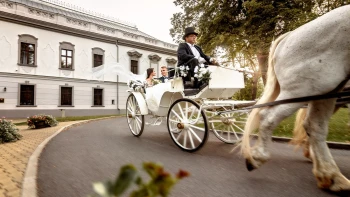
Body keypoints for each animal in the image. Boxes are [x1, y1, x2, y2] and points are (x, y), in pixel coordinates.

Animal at [242, 4, 348, 192]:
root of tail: (289, 35)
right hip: (307, 87)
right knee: (269, 116)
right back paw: (258, 156)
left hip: (325, 89)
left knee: (314, 125)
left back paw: (331, 175)